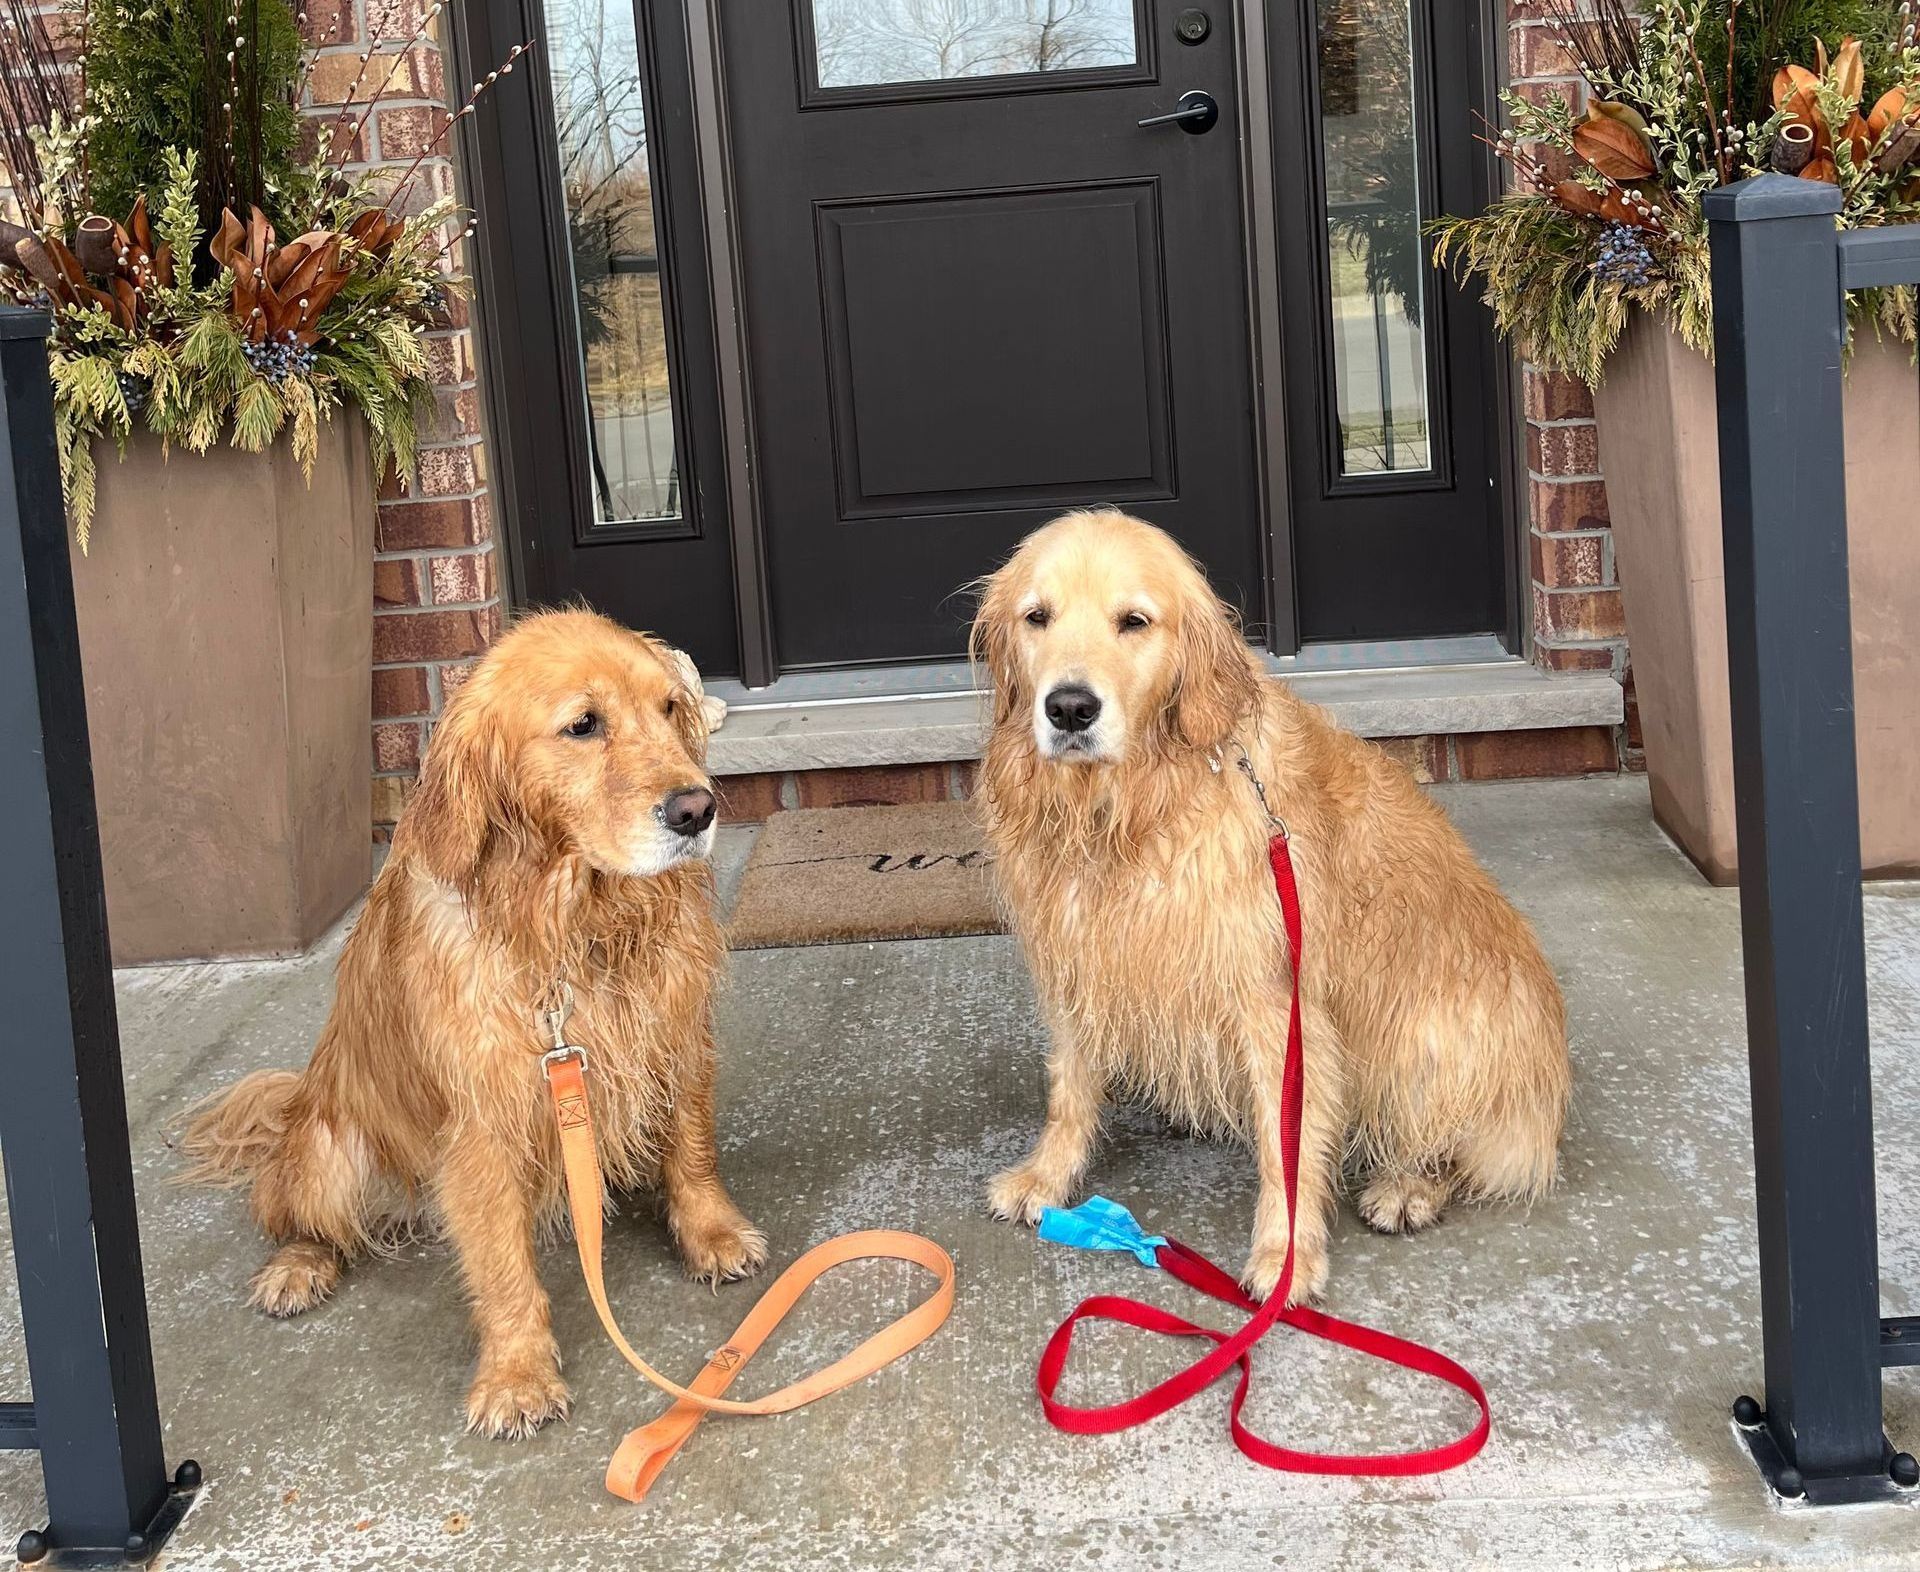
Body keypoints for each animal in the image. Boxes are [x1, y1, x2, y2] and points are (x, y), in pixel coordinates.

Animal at [181, 610, 764, 1435]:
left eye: (670, 708)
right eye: (583, 725)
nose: (697, 808)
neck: (575, 925)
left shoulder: (676, 1034)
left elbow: (691, 1145)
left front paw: (711, 1233)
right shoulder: (485, 1119)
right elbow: (501, 1263)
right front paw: (517, 1375)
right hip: (329, 1152)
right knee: (302, 1217)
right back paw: (297, 1268)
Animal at [967, 514, 1566, 1305]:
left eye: (1134, 621)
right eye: (1037, 617)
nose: (1068, 708)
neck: (1125, 811)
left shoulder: (1275, 1002)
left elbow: (1289, 1145)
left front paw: (1286, 1255)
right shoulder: (1077, 961)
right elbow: (1070, 1088)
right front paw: (1047, 1176)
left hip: (1433, 1038)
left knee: (1465, 1147)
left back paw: (1409, 1185)